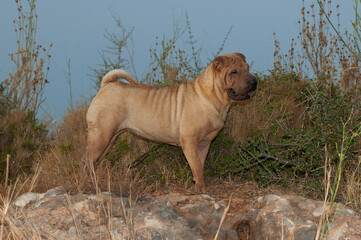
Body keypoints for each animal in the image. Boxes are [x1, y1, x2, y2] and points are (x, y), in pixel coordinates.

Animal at [86, 53, 258, 193]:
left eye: (248, 68)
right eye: (234, 72)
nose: (254, 81)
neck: (213, 97)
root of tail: (107, 85)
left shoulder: (204, 144)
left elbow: (200, 165)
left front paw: (199, 185)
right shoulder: (190, 142)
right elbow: (196, 167)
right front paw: (200, 189)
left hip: (109, 139)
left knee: (95, 162)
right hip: (101, 136)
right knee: (88, 161)